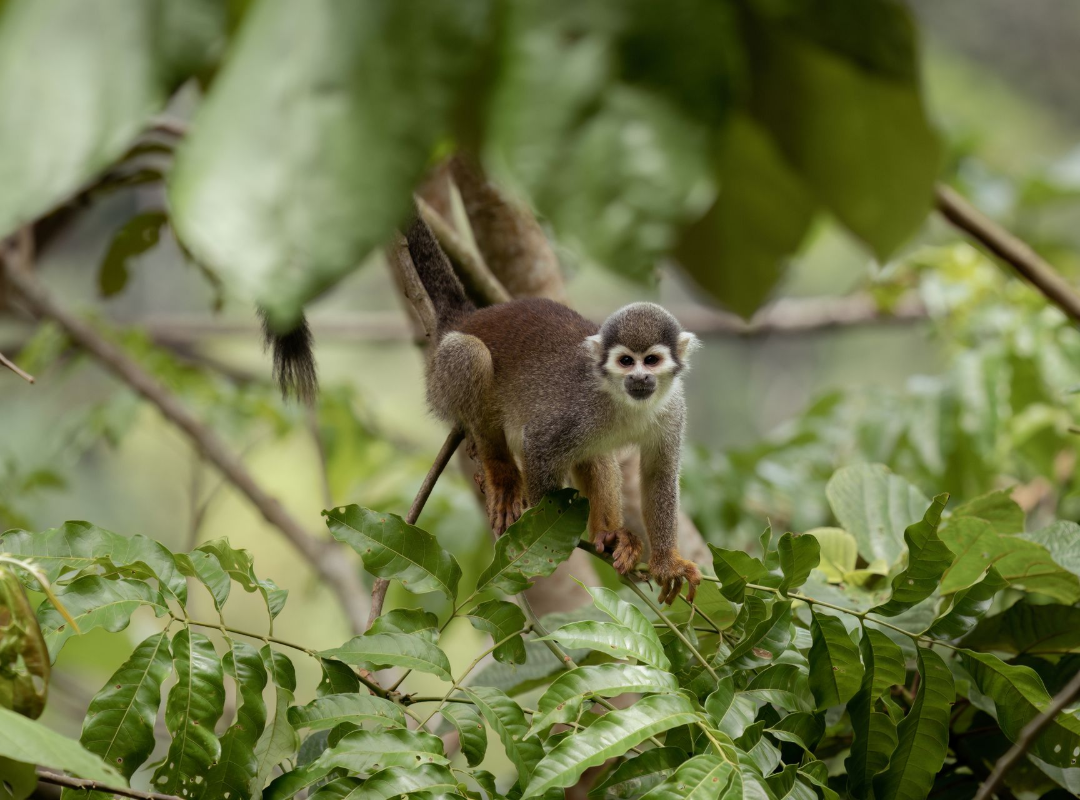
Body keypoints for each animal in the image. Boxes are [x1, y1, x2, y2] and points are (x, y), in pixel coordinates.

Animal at [406, 213, 702, 604]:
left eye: (651, 360)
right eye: (626, 361)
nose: (639, 377)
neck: (625, 402)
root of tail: (468, 317)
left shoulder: (673, 410)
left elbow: (659, 474)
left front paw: (666, 562)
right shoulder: (577, 406)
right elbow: (541, 446)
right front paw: (554, 529)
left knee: (595, 455)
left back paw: (611, 535)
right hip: (440, 380)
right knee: (470, 354)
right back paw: (501, 473)